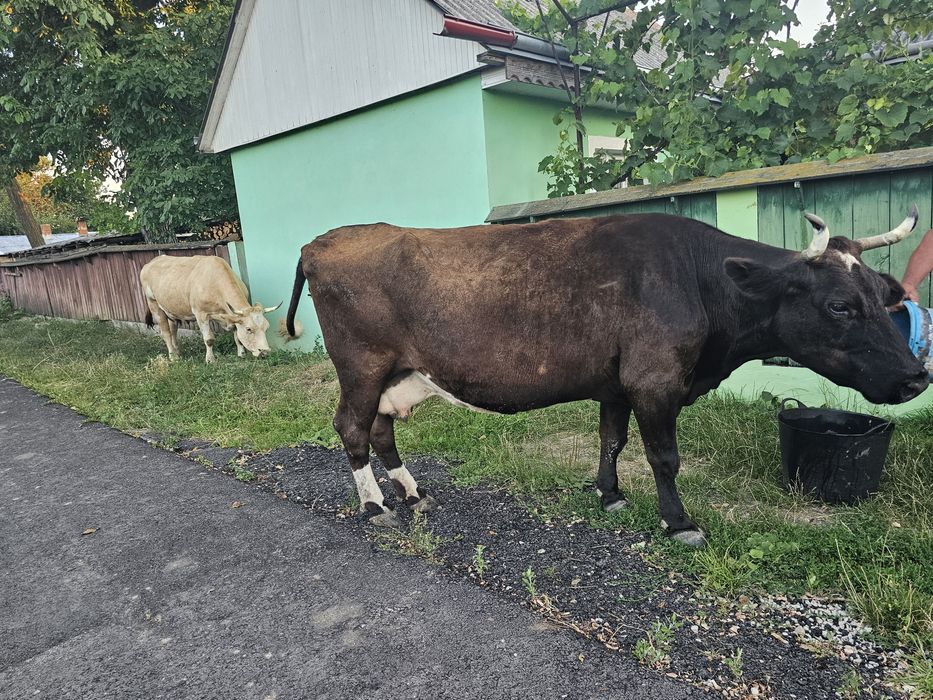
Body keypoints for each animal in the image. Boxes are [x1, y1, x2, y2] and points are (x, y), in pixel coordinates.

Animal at [140, 254, 285, 363]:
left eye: (266, 327)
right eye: (249, 329)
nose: (265, 352)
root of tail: (151, 262)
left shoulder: (230, 315)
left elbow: (237, 336)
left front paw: (241, 353)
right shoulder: (200, 313)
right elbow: (209, 339)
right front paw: (210, 359)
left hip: (170, 309)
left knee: (173, 329)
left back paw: (177, 351)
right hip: (154, 304)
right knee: (165, 333)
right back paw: (173, 356)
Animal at [283, 208, 927, 547]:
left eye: (883, 295)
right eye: (840, 305)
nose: (916, 378)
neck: (698, 279)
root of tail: (323, 241)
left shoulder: (617, 382)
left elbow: (612, 439)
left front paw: (610, 495)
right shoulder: (655, 379)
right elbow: (664, 457)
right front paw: (679, 523)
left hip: (396, 373)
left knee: (382, 429)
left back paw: (410, 491)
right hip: (361, 365)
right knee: (351, 427)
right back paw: (375, 507)